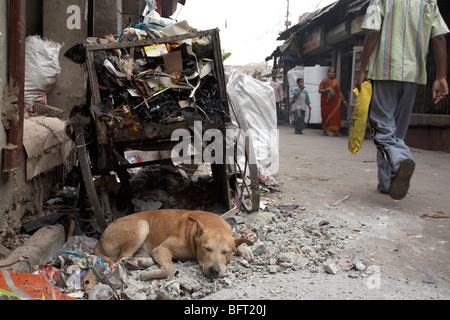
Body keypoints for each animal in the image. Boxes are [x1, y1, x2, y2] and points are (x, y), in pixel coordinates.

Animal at [92, 209, 253, 278]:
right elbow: (169, 268)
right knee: (120, 260)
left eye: (226, 252)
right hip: (142, 226)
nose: (214, 270)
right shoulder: (161, 249)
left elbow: (237, 240)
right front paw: (150, 275)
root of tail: (99, 240)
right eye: (206, 249)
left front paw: (244, 249)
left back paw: (140, 263)